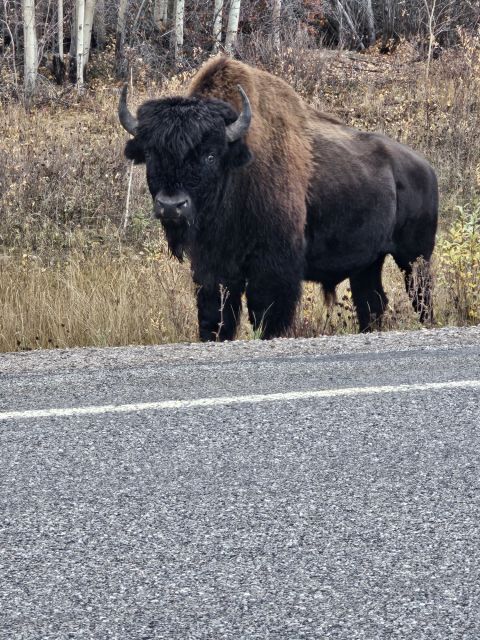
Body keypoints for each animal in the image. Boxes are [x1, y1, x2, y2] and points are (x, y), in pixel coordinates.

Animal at [118, 56, 436, 340]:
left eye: (210, 155)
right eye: (151, 156)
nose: (171, 205)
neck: (237, 168)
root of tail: (425, 168)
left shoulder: (273, 266)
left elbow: (266, 314)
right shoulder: (212, 266)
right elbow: (216, 316)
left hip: (415, 256)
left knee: (420, 296)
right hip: (369, 262)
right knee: (371, 300)